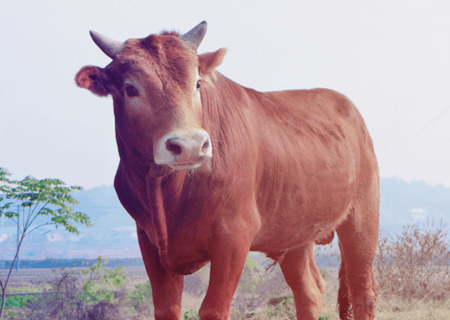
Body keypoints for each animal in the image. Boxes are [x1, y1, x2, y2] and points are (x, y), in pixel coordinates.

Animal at [75, 21, 378, 318]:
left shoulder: (233, 237)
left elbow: (214, 308)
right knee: (309, 292)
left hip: (361, 220)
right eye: (130, 89)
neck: (167, 188)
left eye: (197, 83)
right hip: (295, 235)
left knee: (362, 291)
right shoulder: (149, 241)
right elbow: (167, 308)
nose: (189, 145)